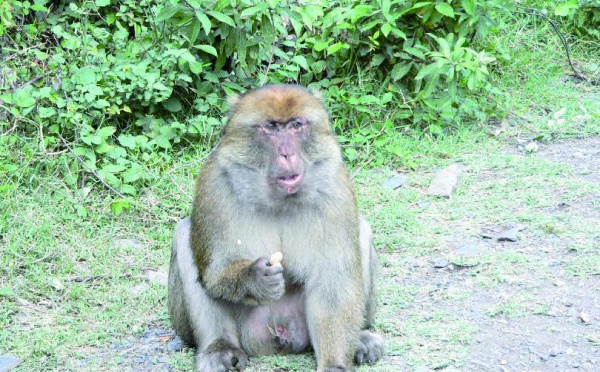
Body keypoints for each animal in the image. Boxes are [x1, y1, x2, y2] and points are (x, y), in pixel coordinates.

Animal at [169, 84, 384, 372]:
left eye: (295, 126)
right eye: (271, 127)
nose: (287, 154)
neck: (279, 200)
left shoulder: (335, 187)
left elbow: (335, 283)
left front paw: (334, 363)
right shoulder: (215, 184)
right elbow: (214, 272)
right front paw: (255, 278)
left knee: (361, 231)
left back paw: (360, 337)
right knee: (183, 236)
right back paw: (219, 348)